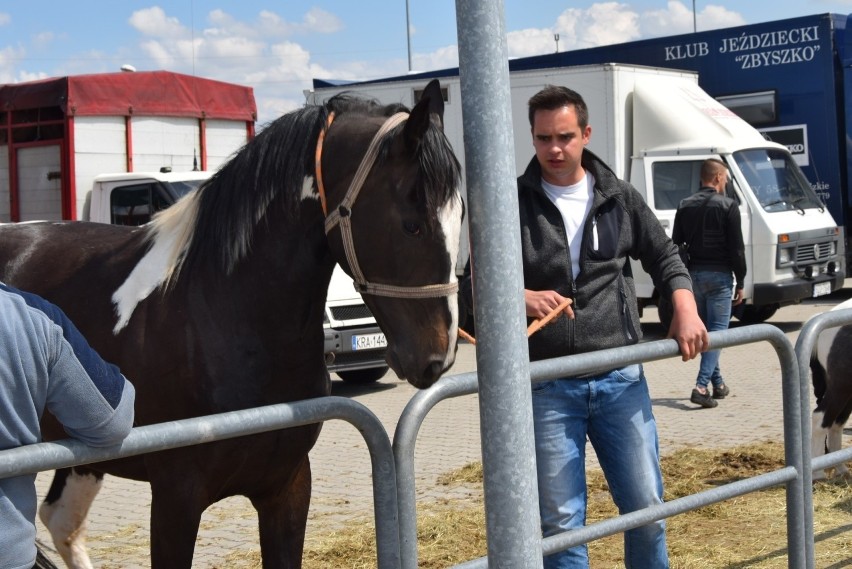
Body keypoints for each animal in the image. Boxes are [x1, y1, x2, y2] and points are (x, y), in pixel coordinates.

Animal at [0, 77, 462, 564]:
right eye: (412, 224)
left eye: (461, 216)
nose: (438, 356)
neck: (222, 312)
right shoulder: (175, 499)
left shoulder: (287, 489)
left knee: (62, 522)